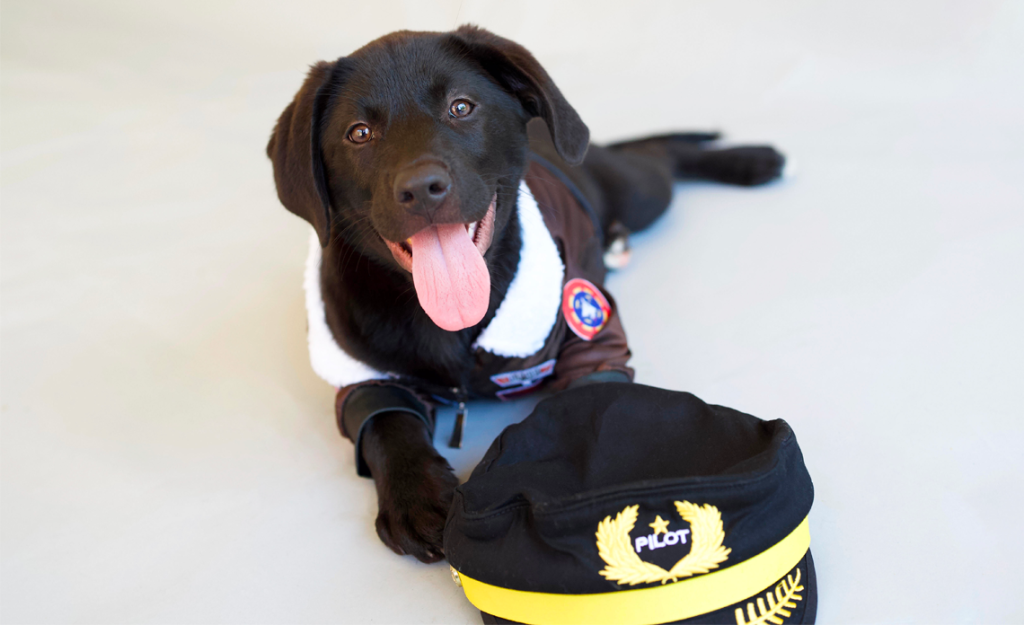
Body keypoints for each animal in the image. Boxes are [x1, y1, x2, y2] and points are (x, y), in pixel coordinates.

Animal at [266, 24, 782, 561]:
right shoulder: (358, 370)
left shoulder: (590, 330)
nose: (422, 188)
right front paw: (415, 498)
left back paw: (750, 161)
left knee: (659, 158)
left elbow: (594, 407)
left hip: (640, 194)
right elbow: (389, 426)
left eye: (461, 107)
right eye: (359, 133)